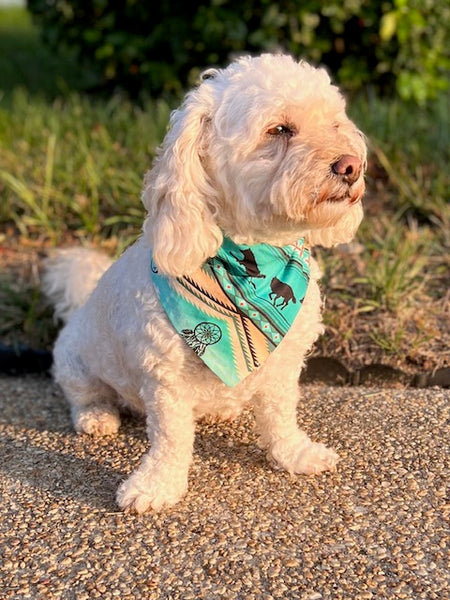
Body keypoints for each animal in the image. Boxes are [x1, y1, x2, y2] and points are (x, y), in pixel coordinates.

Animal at [42, 54, 366, 512]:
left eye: (335, 124)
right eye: (279, 130)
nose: (351, 165)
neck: (255, 254)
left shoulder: (284, 366)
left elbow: (281, 416)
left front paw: (294, 454)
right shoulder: (165, 380)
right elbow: (171, 439)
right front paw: (156, 485)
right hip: (75, 361)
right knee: (83, 395)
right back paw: (96, 416)